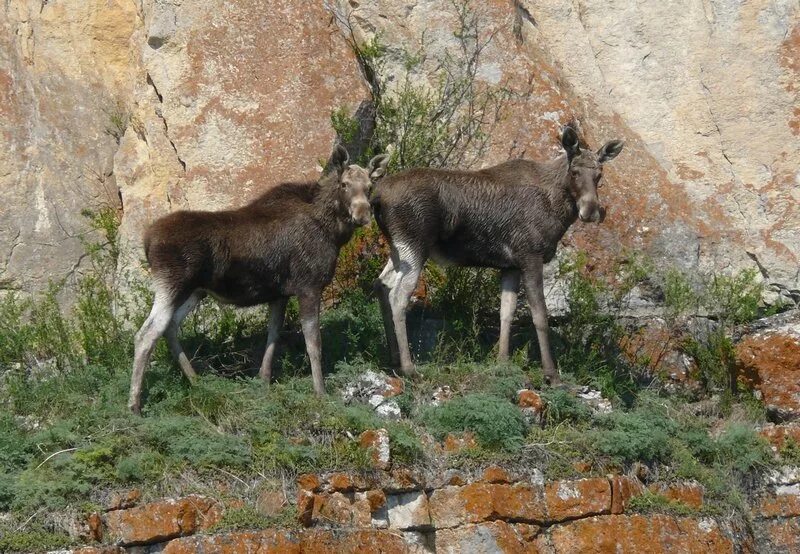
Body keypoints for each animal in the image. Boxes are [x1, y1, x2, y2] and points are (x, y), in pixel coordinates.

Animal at [129, 144, 390, 412]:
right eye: (344, 184)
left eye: (370, 186)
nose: (362, 215)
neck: (333, 233)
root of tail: (147, 240)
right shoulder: (309, 286)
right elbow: (313, 343)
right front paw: (320, 392)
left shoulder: (279, 294)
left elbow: (273, 335)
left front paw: (264, 381)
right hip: (171, 284)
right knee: (146, 334)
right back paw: (135, 403)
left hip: (194, 291)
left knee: (169, 327)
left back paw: (196, 381)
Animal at [370, 125, 624, 384]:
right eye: (574, 171)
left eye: (599, 175)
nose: (590, 211)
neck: (557, 210)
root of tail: (376, 197)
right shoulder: (530, 256)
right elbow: (540, 315)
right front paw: (551, 374)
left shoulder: (510, 266)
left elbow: (506, 312)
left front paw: (502, 362)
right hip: (415, 245)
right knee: (398, 296)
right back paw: (409, 367)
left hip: (398, 248)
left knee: (381, 284)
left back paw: (393, 358)